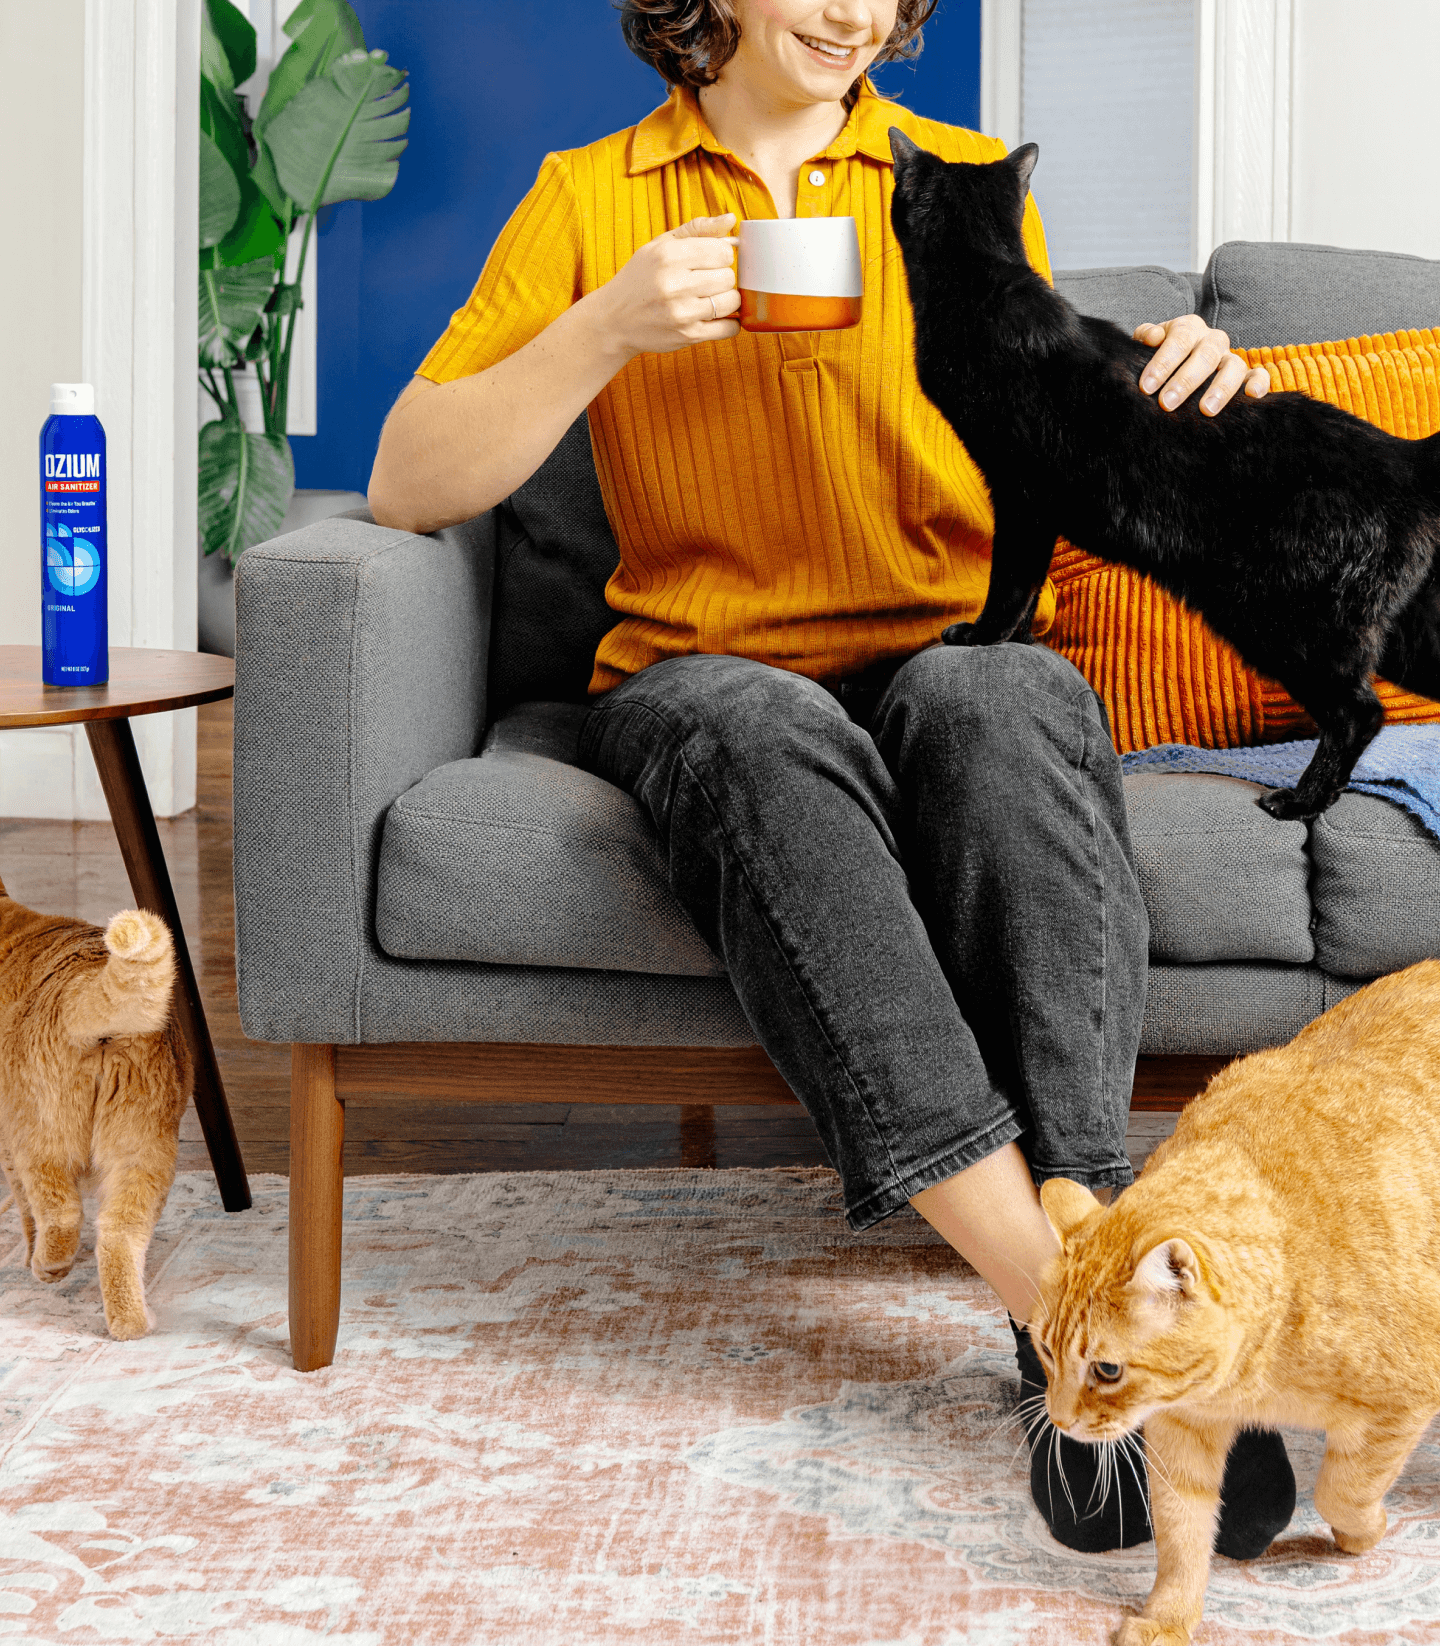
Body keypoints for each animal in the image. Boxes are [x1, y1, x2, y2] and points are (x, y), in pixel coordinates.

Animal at [0, 882, 191, 1343]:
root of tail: (82, 983)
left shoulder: (7, 1147)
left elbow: (25, 1210)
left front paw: (27, 1254)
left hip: (40, 1138)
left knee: (62, 1214)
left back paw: (48, 1267)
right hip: (142, 1156)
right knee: (119, 1235)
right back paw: (132, 1324)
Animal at [888, 131, 1440, 819]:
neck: (988, 282)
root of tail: (1405, 455)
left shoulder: (1021, 495)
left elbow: (1010, 580)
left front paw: (983, 638)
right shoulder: (1033, 508)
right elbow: (1027, 583)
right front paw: (1013, 639)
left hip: (1283, 620)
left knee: (1358, 713)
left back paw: (1299, 800)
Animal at [1033, 961, 1440, 1639]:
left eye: (1108, 1370)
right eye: (1043, 1352)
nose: (1059, 1421)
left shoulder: (1403, 1403)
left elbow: (1343, 1489)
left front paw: (1364, 1532)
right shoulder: (1181, 1429)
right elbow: (1180, 1534)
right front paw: (1169, 1619)